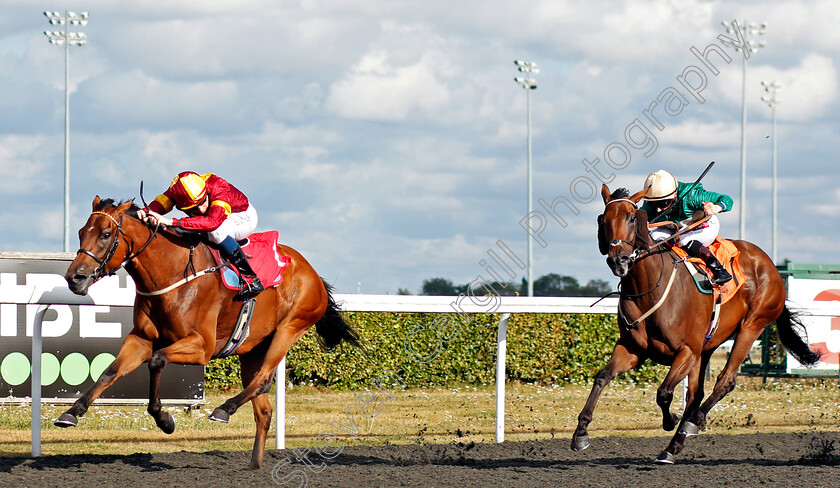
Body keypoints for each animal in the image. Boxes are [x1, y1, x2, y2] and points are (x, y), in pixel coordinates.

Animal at [57, 196, 360, 468]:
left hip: (290, 328)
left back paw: (223, 410)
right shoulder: (141, 339)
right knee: (263, 410)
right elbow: (110, 371)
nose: (74, 278)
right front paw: (72, 413)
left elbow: (157, 360)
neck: (173, 274)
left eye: (106, 234)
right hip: (252, 349)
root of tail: (312, 272)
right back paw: (254, 465)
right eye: (81, 232)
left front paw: (165, 420)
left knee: (263, 380)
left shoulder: (201, 346)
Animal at [576, 185, 816, 464]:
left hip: (751, 326)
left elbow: (664, 393)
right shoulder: (633, 349)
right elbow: (603, 377)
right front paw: (580, 433)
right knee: (696, 394)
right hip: (708, 346)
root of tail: (771, 265)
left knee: (724, 381)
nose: (619, 260)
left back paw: (692, 423)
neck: (649, 289)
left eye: (632, 217)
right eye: (602, 220)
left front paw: (672, 420)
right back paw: (673, 446)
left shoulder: (687, 351)